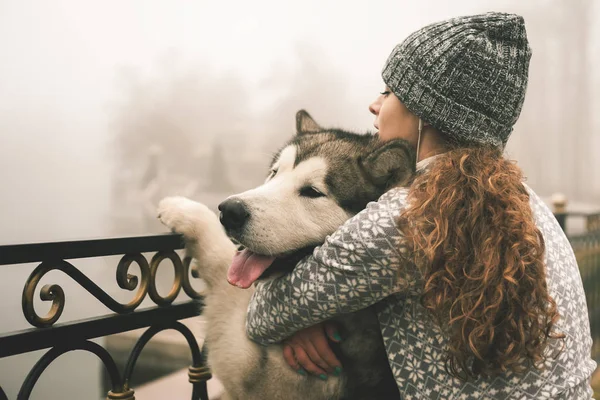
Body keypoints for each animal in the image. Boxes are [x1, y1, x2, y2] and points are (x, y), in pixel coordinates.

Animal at [157, 110, 414, 400]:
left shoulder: (255, 375)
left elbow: (220, 259)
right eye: (274, 173)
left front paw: (181, 209)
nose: (230, 210)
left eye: (312, 192)